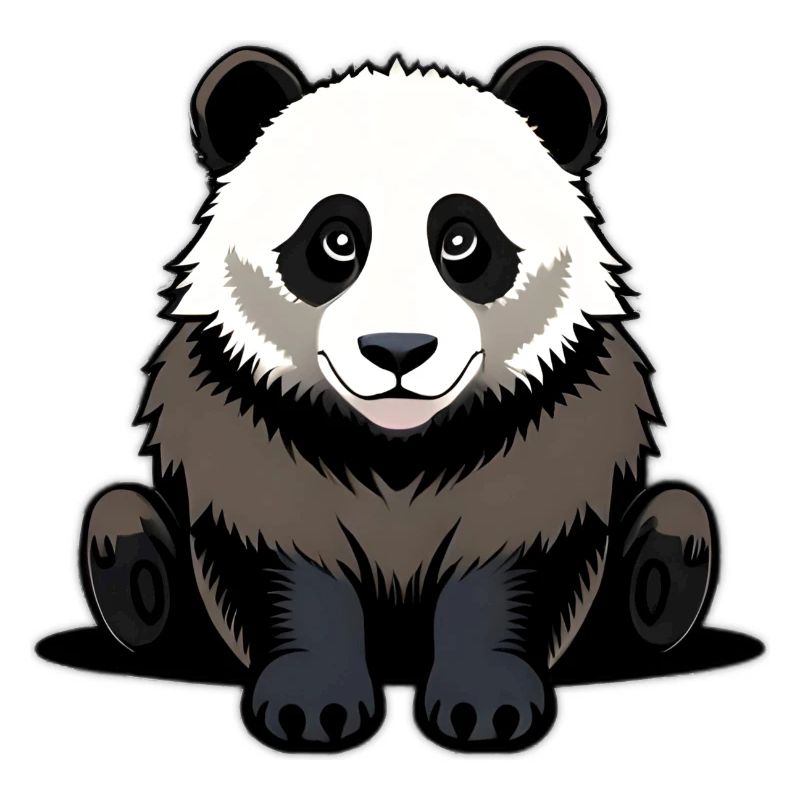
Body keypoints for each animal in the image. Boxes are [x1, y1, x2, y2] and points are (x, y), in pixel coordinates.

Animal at [80, 46, 718, 753]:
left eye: (462, 240)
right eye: (336, 240)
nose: (397, 351)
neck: (398, 443)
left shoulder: (554, 426)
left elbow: (512, 561)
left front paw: (486, 706)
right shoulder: (245, 425)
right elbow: (283, 560)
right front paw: (313, 704)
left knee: (677, 521)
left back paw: (664, 584)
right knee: (121, 519)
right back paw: (135, 586)